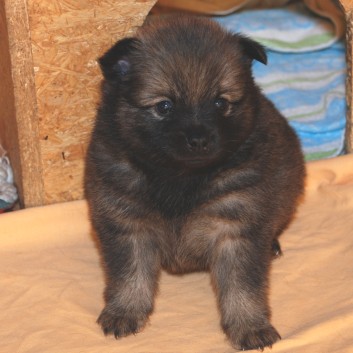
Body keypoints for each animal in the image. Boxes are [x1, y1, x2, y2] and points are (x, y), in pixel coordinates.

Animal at [84, 15, 304, 350]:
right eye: (164, 106)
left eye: (220, 103)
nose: (199, 140)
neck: (180, 176)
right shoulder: (127, 222)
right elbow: (129, 274)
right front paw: (125, 311)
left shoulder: (236, 228)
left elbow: (242, 286)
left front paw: (250, 326)